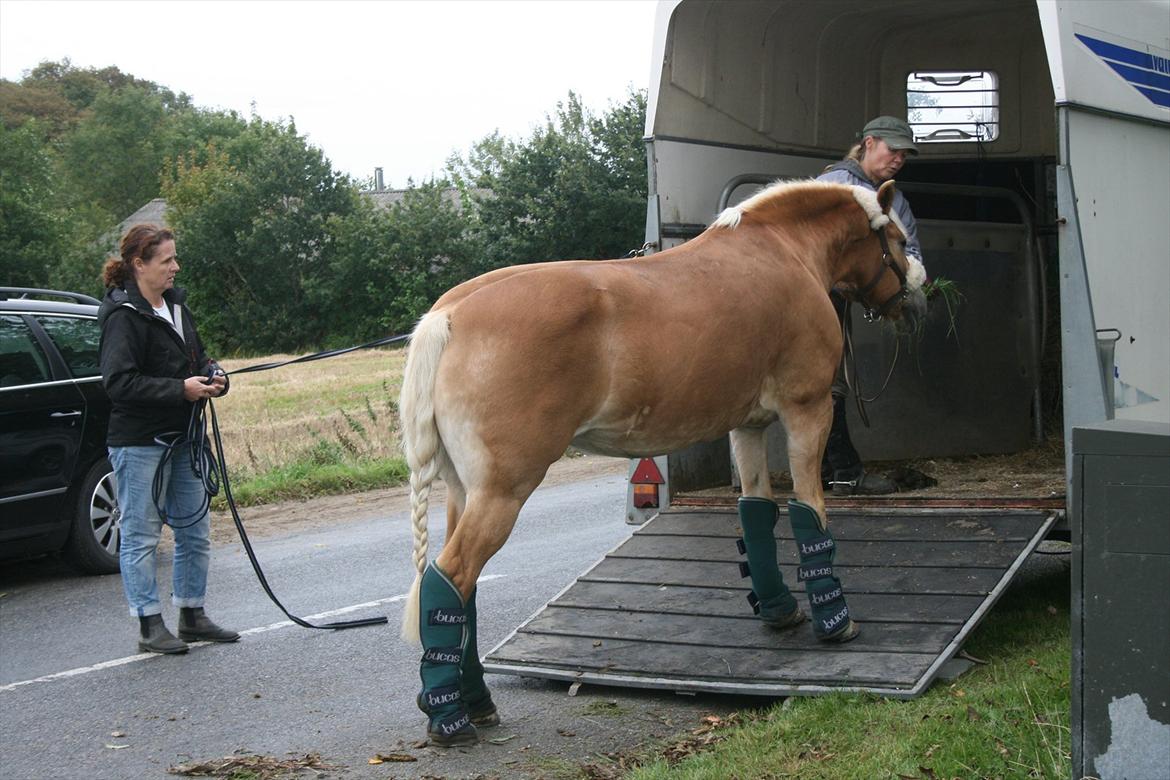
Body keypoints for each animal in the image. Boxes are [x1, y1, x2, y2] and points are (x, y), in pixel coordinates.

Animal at [397, 176, 926, 743]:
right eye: (897, 239)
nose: (918, 299)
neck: (782, 250)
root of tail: (450, 313)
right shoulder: (807, 411)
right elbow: (812, 515)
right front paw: (836, 622)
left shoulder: (748, 425)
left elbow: (757, 512)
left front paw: (780, 610)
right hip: (501, 492)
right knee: (454, 573)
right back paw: (450, 717)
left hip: (464, 491)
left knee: (455, 582)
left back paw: (475, 701)